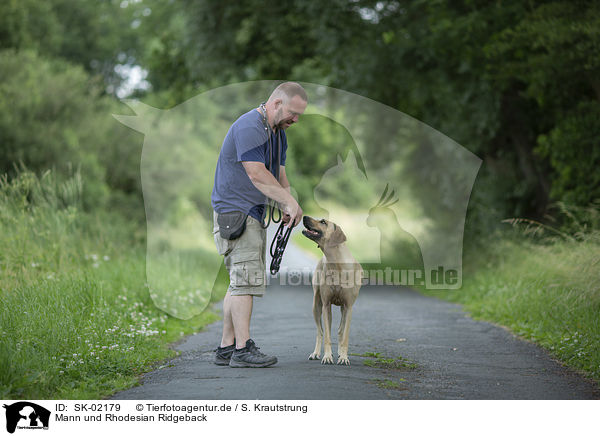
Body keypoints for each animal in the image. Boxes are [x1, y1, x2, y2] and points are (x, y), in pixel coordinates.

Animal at [302, 215, 364, 364]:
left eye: (323, 222)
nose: (304, 216)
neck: (336, 263)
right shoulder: (326, 305)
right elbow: (327, 335)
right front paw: (327, 356)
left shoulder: (348, 306)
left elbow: (345, 334)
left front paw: (343, 357)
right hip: (316, 305)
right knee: (320, 331)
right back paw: (316, 353)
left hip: (343, 309)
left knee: (340, 330)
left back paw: (341, 353)